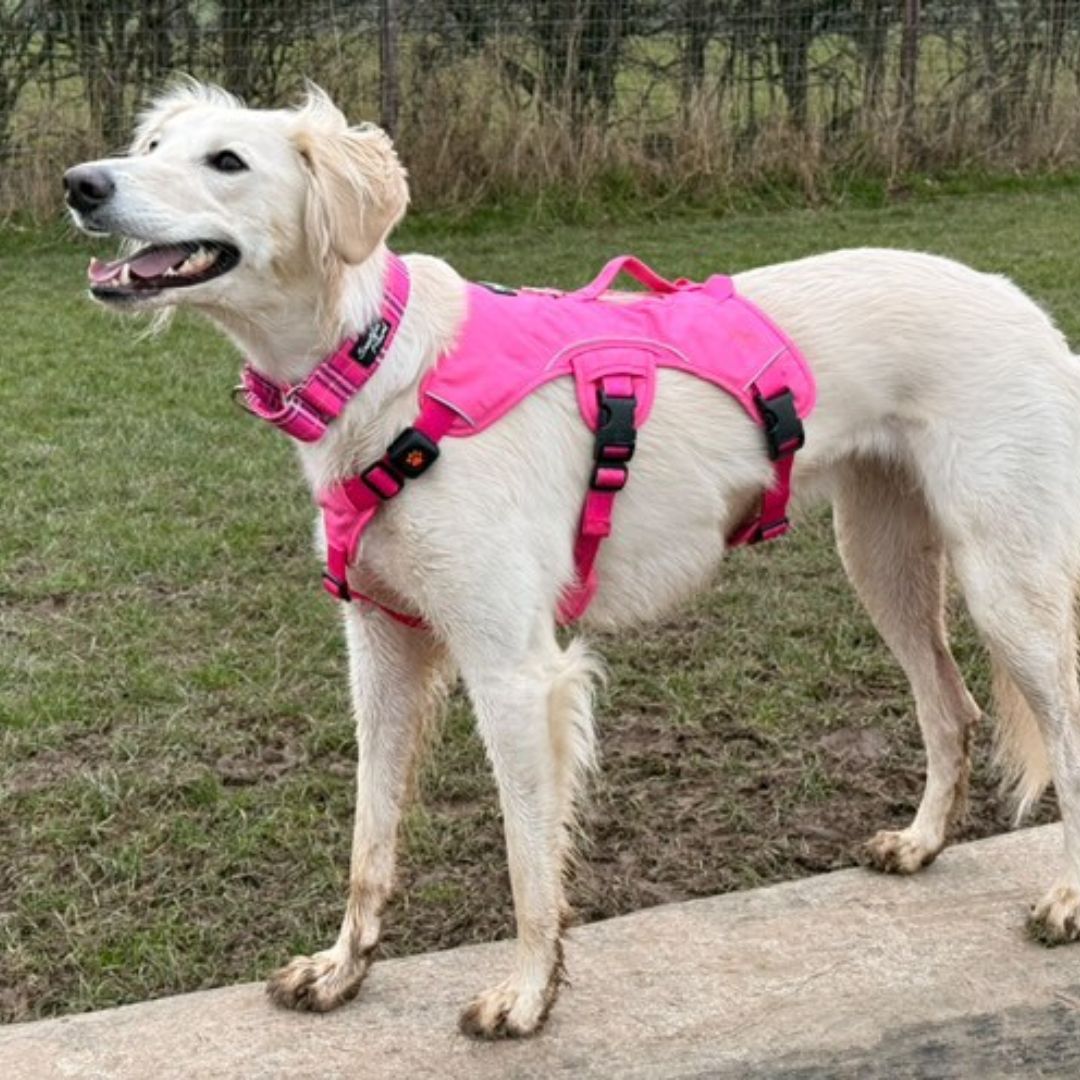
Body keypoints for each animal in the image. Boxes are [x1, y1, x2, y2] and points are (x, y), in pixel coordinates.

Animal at [63, 82, 1080, 1036]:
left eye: (226, 161)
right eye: (150, 146)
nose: (81, 184)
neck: (382, 369)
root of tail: (1018, 301)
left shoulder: (516, 671)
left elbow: (526, 858)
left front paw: (527, 996)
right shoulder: (382, 653)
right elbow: (368, 839)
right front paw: (344, 970)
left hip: (1006, 581)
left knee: (1061, 724)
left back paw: (1064, 900)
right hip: (883, 561)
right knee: (951, 708)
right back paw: (922, 842)